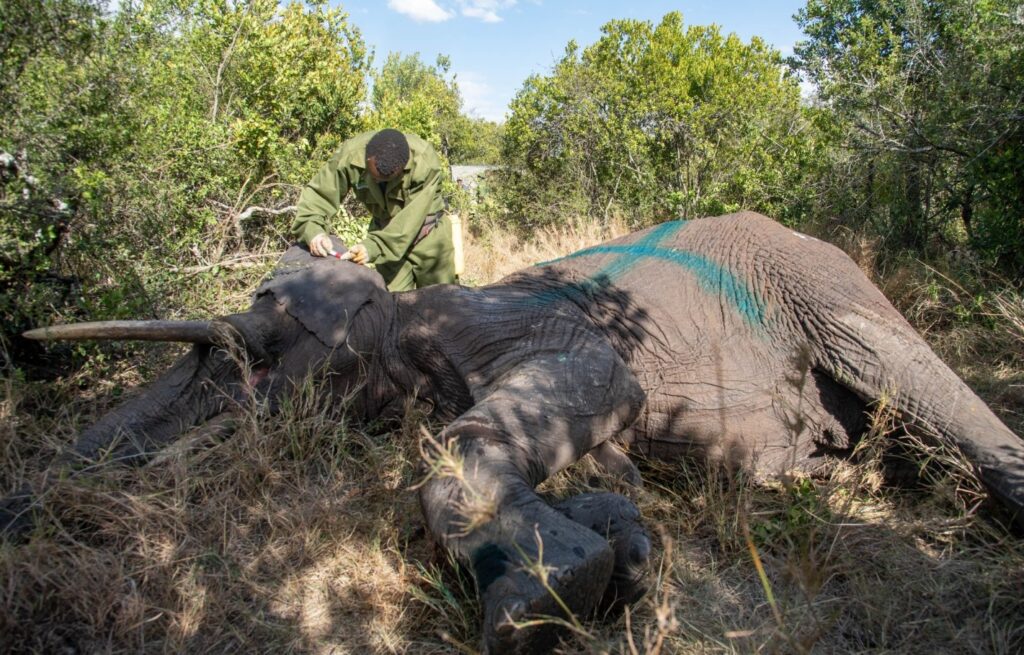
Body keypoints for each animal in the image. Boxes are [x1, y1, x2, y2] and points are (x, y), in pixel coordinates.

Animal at [6, 211, 1023, 653]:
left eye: (264, 342)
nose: (32, 503)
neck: (397, 316)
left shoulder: (529, 330)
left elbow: (595, 384)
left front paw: (550, 592)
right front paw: (624, 543)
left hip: (828, 281)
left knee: (924, 389)